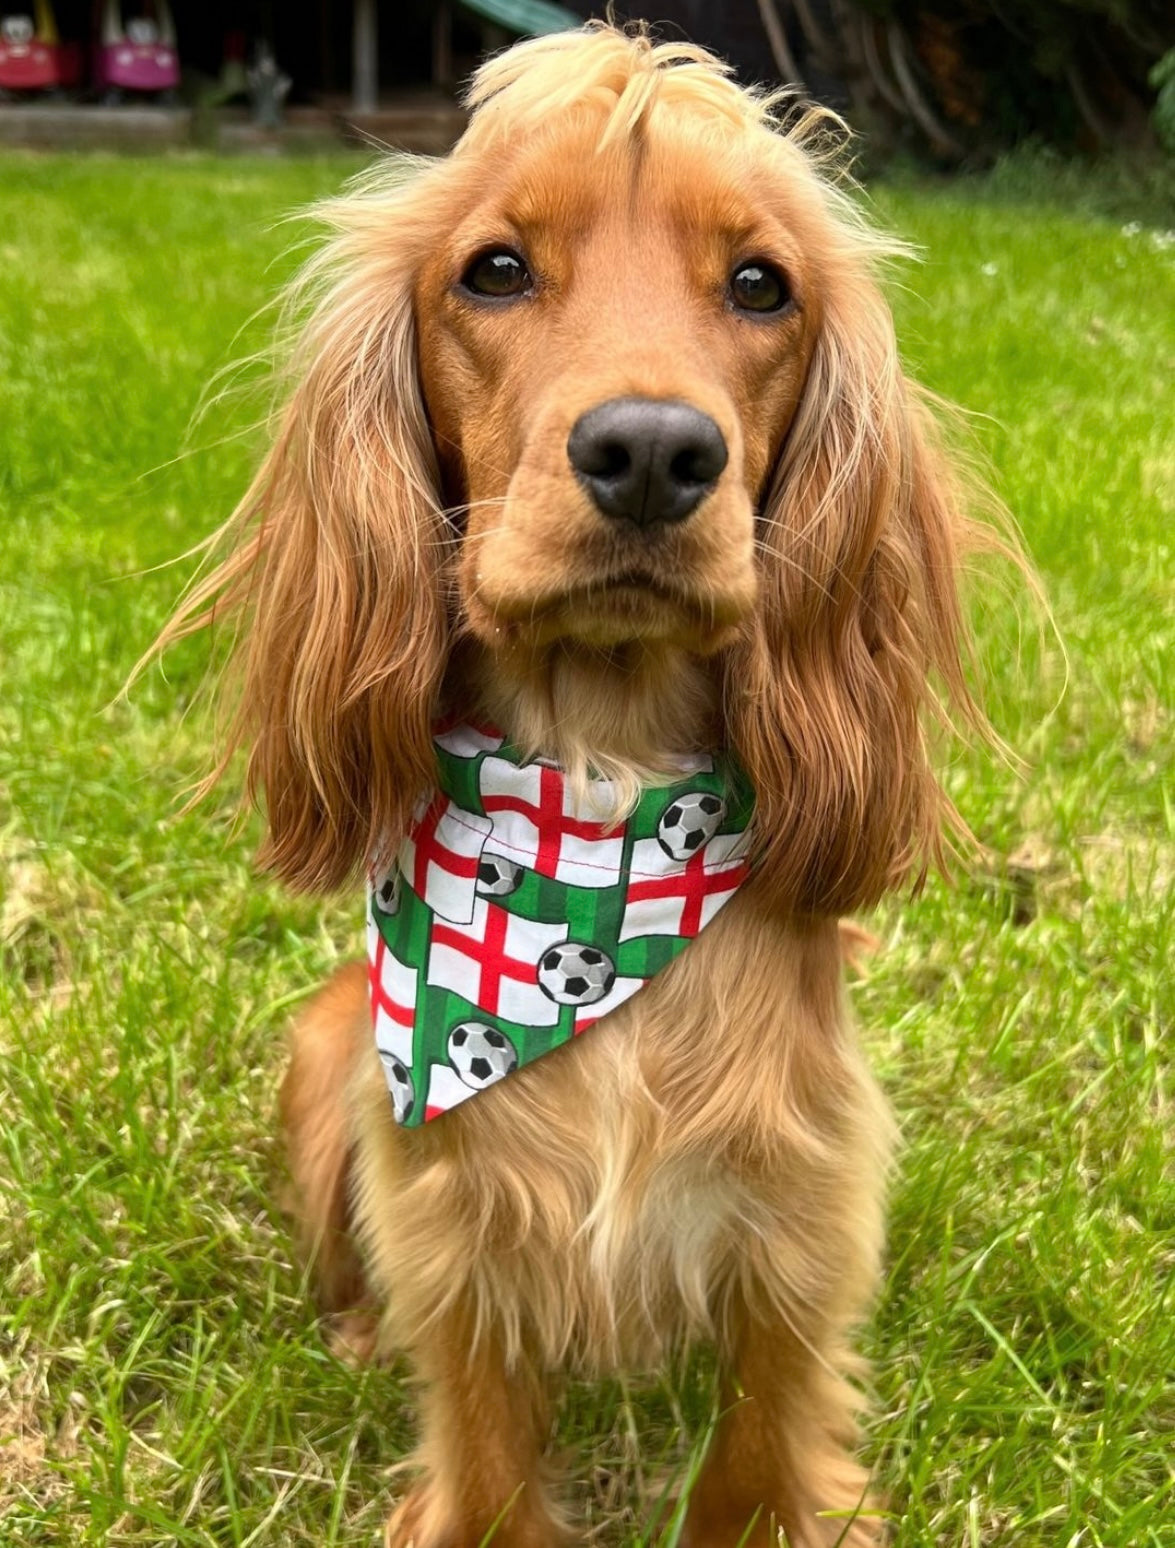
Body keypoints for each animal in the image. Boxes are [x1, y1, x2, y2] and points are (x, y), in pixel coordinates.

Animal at [154, 24, 1003, 1548]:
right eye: (493, 270)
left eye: (758, 285)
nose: (653, 451)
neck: (596, 829)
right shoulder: (458, 1237)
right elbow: (487, 1465)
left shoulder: (795, 1220)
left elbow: (755, 1455)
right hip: (323, 1062)